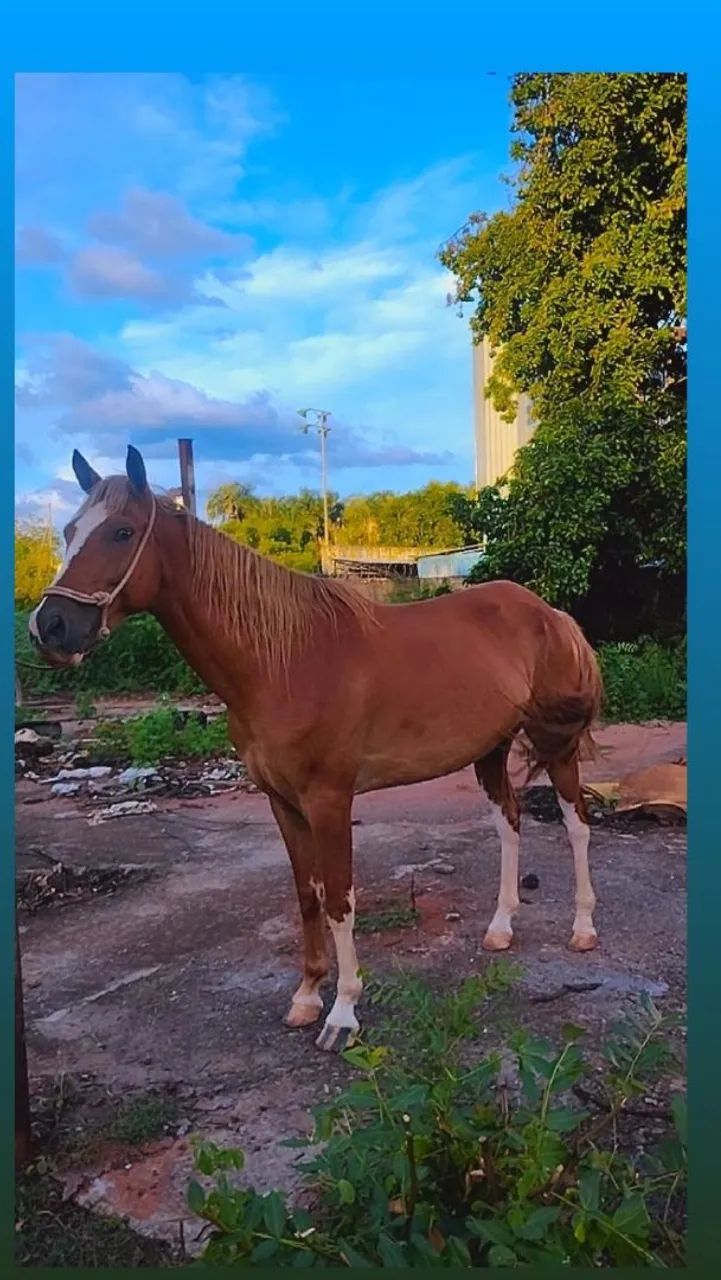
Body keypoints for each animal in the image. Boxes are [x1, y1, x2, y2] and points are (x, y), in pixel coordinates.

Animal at [30, 446, 603, 1053]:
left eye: (121, 531)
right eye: (69, 531)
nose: (49, 627)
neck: (282, 662)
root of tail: (550, 614)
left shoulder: (329, 801)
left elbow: (339, 899)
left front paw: (343, 1014)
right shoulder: (282, 802)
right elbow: (307, 896)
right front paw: (306, 998)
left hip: (555, 744)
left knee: (576, 823)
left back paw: (583, 928)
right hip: (490, 749)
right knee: (509, 823)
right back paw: (500, 929)